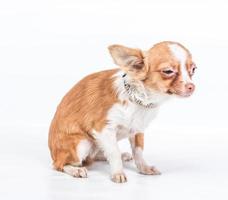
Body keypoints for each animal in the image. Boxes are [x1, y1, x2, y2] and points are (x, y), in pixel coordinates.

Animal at [48, 40, 196, 183]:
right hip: (82, 143)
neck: (140, 100)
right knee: (59, 164)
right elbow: (114, 153)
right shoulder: (104, 129)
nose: (192, 86)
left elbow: (138, 152)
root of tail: (53, 153)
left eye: (193, 70)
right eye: (168, 71)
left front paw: (144, 168)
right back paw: (76, 170)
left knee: (94, 155)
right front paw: (118, 173)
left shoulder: (137, 130)